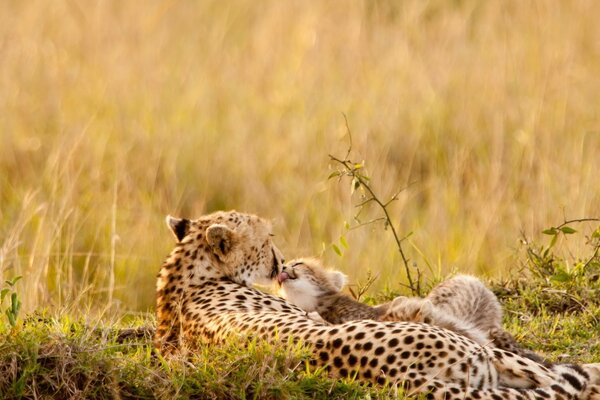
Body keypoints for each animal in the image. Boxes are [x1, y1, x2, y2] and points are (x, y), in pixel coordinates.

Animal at [156, 211, 600, 398]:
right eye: (266, 240)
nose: (280, 262)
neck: (185, 276)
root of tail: (403, 377)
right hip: (485, 355)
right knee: (565, 379)